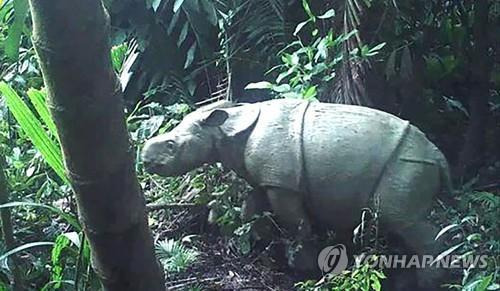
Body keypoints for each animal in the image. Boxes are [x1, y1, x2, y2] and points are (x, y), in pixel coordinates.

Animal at [143, 99, 452, 288]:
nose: (144, 159)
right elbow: (251, 208)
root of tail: (438, 156)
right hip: (410, 164)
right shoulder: (266, 179)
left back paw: (428, 283)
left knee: (403, 220)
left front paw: (300, 265)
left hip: (406, 163)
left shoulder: (283, 183)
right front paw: (251, 245)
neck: (225, 128)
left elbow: (297, 222)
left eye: (172, 145)